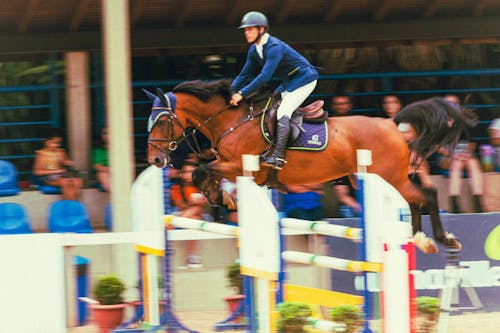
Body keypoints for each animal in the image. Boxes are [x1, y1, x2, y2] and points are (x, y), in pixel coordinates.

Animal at [146, 79, 472, 253]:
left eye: (161, 120)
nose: (155, 160)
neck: (231, 122)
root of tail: (393, 123)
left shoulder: (239, 166)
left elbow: (202, 170)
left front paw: (221, 197)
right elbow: (202, 171)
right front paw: (220, 197)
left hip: (388, 176)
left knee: (427, 195)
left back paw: (443, 239)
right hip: (383, 178)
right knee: (416, 200)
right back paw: (421, 239)